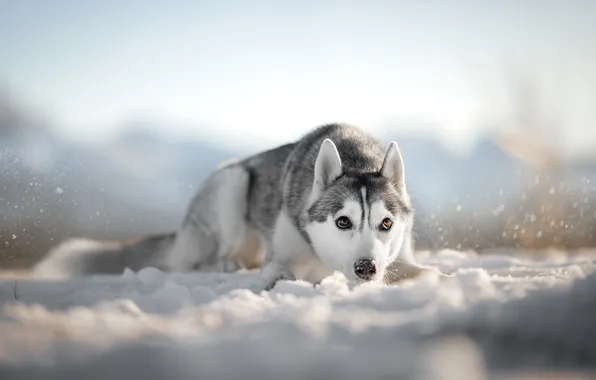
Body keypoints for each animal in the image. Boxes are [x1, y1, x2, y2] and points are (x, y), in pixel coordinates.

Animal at [33, 123, 434, 290]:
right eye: (343, 222)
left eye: (386, 224)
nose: (366, 267)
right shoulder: (283, 253)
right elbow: (278, 269)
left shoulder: (400, 258)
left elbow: (427, 272)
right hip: (233, 182)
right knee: (202, 262)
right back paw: (229, 264)